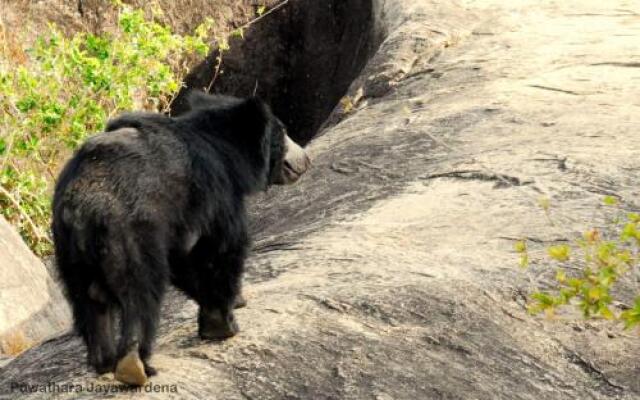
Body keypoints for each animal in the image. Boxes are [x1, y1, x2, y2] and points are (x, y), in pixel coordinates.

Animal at [51, 92, 312, 386]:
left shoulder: (180, 220)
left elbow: (183, 261)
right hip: (131, 230)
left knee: (88, 300)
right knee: (141, 290)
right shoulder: (215, 193)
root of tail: (80, 204)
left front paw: (235, 303)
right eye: (284, 133)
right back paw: (135, 365)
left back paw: (104, 361)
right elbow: (218, 250)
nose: (306, 159)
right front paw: (222, 324)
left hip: (69, 251)